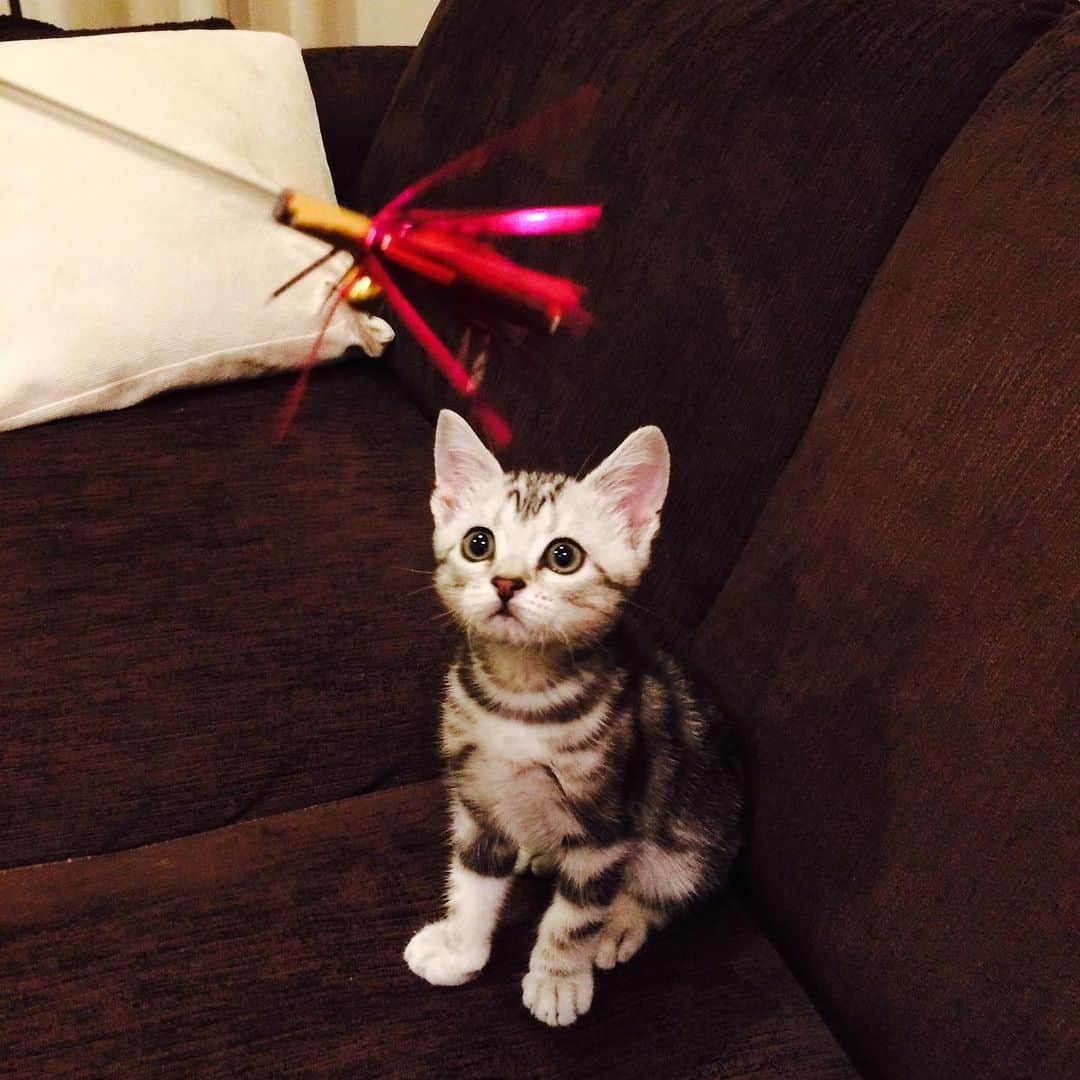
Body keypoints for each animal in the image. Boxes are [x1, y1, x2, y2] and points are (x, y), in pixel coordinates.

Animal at [406, 408, 743, 1023]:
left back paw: (620, 925)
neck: (519, 700)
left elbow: (574, 915)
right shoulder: (477, 795)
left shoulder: (607, 824)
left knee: (664, 888)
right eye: (478, 544)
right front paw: (460, 948)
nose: (506, 582)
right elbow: (472, 880)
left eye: (564, 556)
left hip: (695, 837)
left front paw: (558, 979)